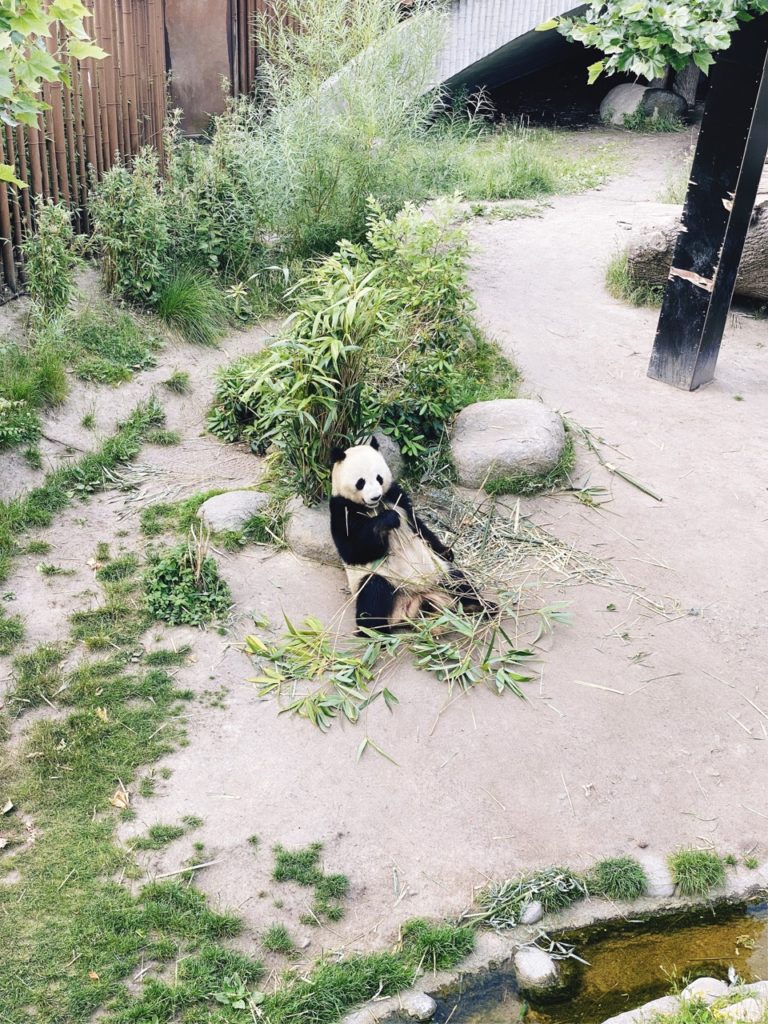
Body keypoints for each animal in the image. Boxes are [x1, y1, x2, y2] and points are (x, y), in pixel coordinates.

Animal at [329, 438, 489, 633]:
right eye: (361, 482)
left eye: (379, 478)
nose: (375, 497)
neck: (372, 507)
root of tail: (415, 604)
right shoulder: (341, 509)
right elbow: (353, 550)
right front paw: (387, 520)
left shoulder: (395, 495)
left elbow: (419, 526)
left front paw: (446, 551)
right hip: (385, 582)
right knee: (374, 593)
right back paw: (374, 633)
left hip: (439, 573)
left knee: (458, 581)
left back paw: (481, 606)